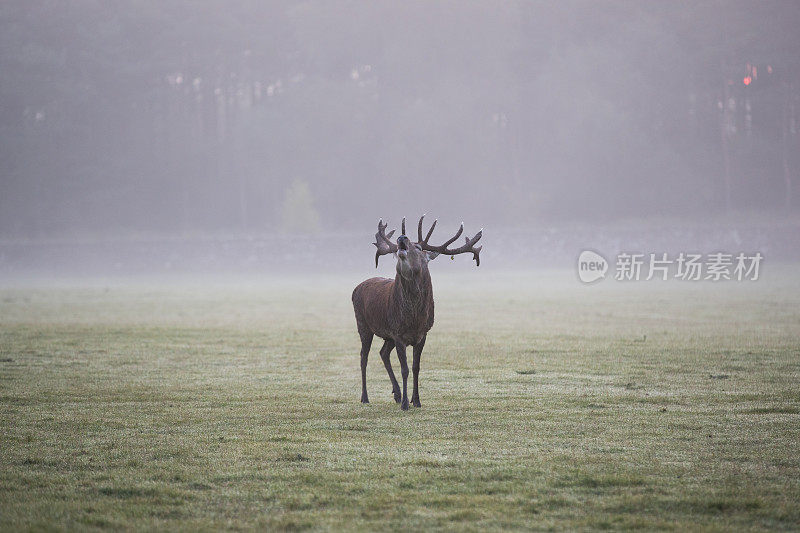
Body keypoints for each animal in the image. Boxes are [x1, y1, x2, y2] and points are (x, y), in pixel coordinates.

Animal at [354, 214, 482, 410]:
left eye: (419, 248)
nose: (401, 238)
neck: (414, 319)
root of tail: (356, 288)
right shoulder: (398, 333)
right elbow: (405, 369)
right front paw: (406, 404)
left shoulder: (423, 333)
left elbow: (416, 367)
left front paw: (417, 400)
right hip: (363, 324)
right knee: (363, 357)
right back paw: (365, 397)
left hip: (387, 335)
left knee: (383, 353)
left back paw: (397, 393)